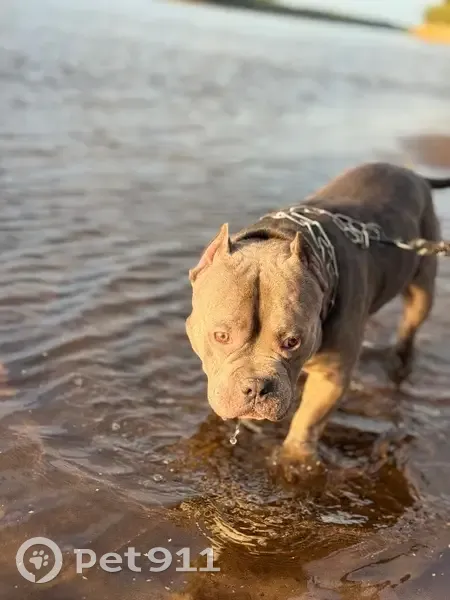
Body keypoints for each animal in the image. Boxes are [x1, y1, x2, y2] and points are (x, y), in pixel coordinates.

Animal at [186, 162, 450, 470]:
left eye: (292, 342)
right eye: (221, 336)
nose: (255, 388)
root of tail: (414, 175)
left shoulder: (332, 376)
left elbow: (308, 419)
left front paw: (295, 459)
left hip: (422, 289)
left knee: (410, 325)